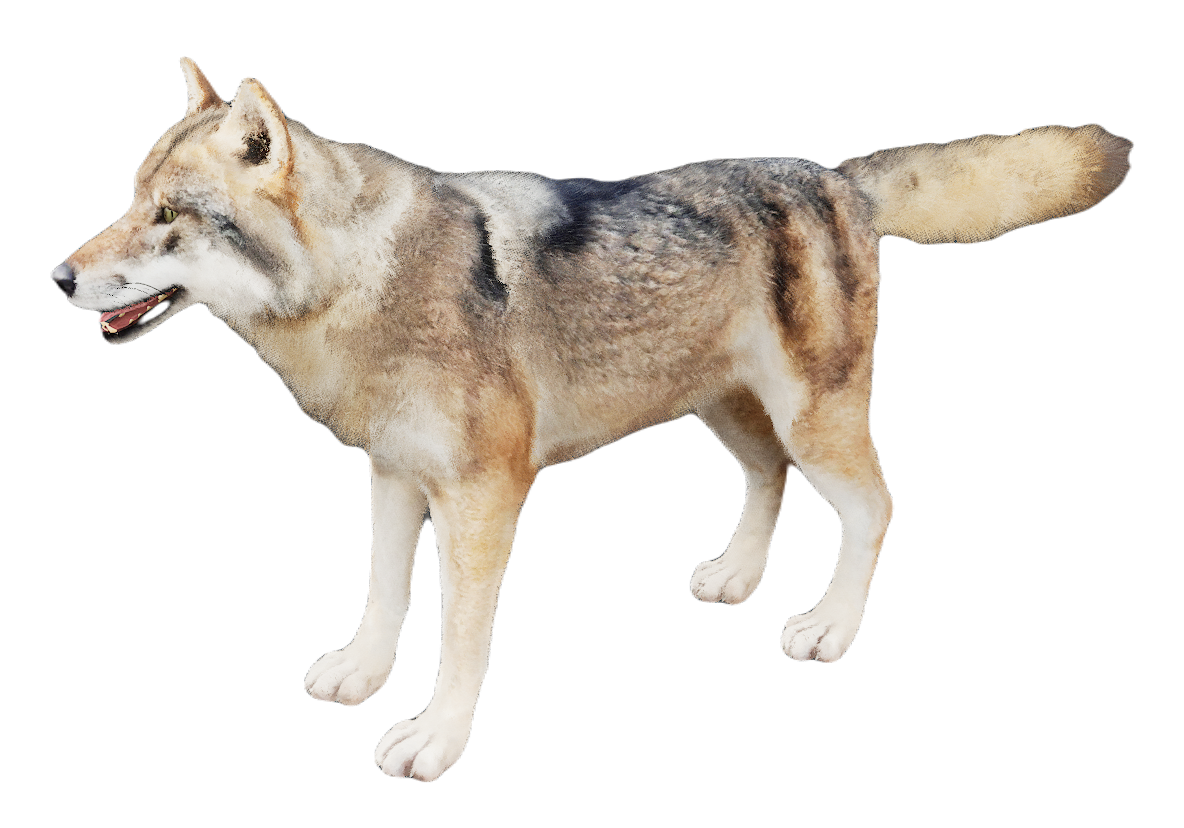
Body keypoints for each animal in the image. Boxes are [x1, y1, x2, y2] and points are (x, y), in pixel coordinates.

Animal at [50, 57, 1132, 781]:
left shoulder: (485, 498)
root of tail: (837, 176)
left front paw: (436, 738)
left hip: (814, 421)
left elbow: (459, 637)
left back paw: (827, 627)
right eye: (133, 199)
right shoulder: (394, 476)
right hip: (729, 416)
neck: (362, 284)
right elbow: (384, 597)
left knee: (874, 508)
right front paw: (361, 674)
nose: (58, 277)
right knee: (768, 481)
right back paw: (737, 578)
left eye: (166, 218)